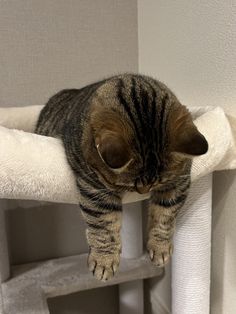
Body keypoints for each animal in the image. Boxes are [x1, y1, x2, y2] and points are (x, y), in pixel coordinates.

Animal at [36, 74, 207, 282]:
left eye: (157, 183)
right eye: (131, 185)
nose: (144, 191)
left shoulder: (178, 182)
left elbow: (165, 216)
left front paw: (160, 248)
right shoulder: (95, 188)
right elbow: (103, 224)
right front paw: (104, 261)